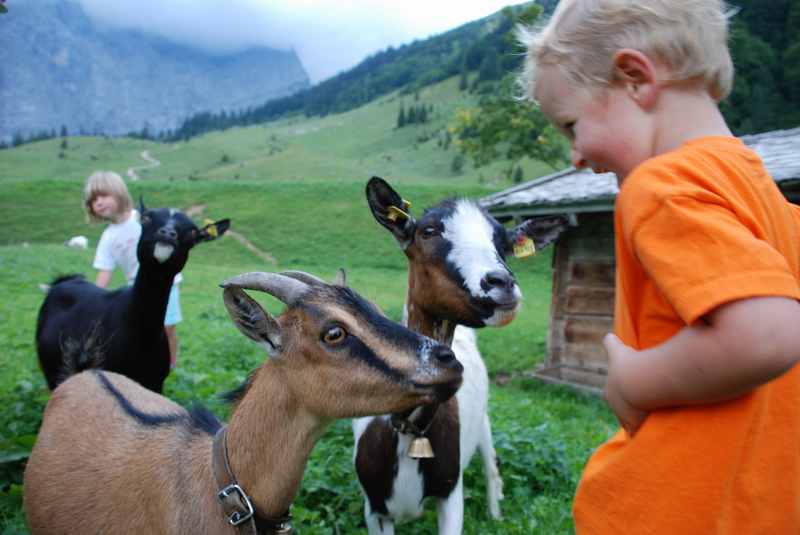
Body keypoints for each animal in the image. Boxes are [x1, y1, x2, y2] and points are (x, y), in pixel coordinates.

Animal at [352, 178, 568, 532]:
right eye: (427, 231)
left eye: (504, 242)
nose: (501, 283)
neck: (409, 432)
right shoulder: (375, 509)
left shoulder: (451, 495)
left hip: (484, 421)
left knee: (492, 466)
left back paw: (496, 515)